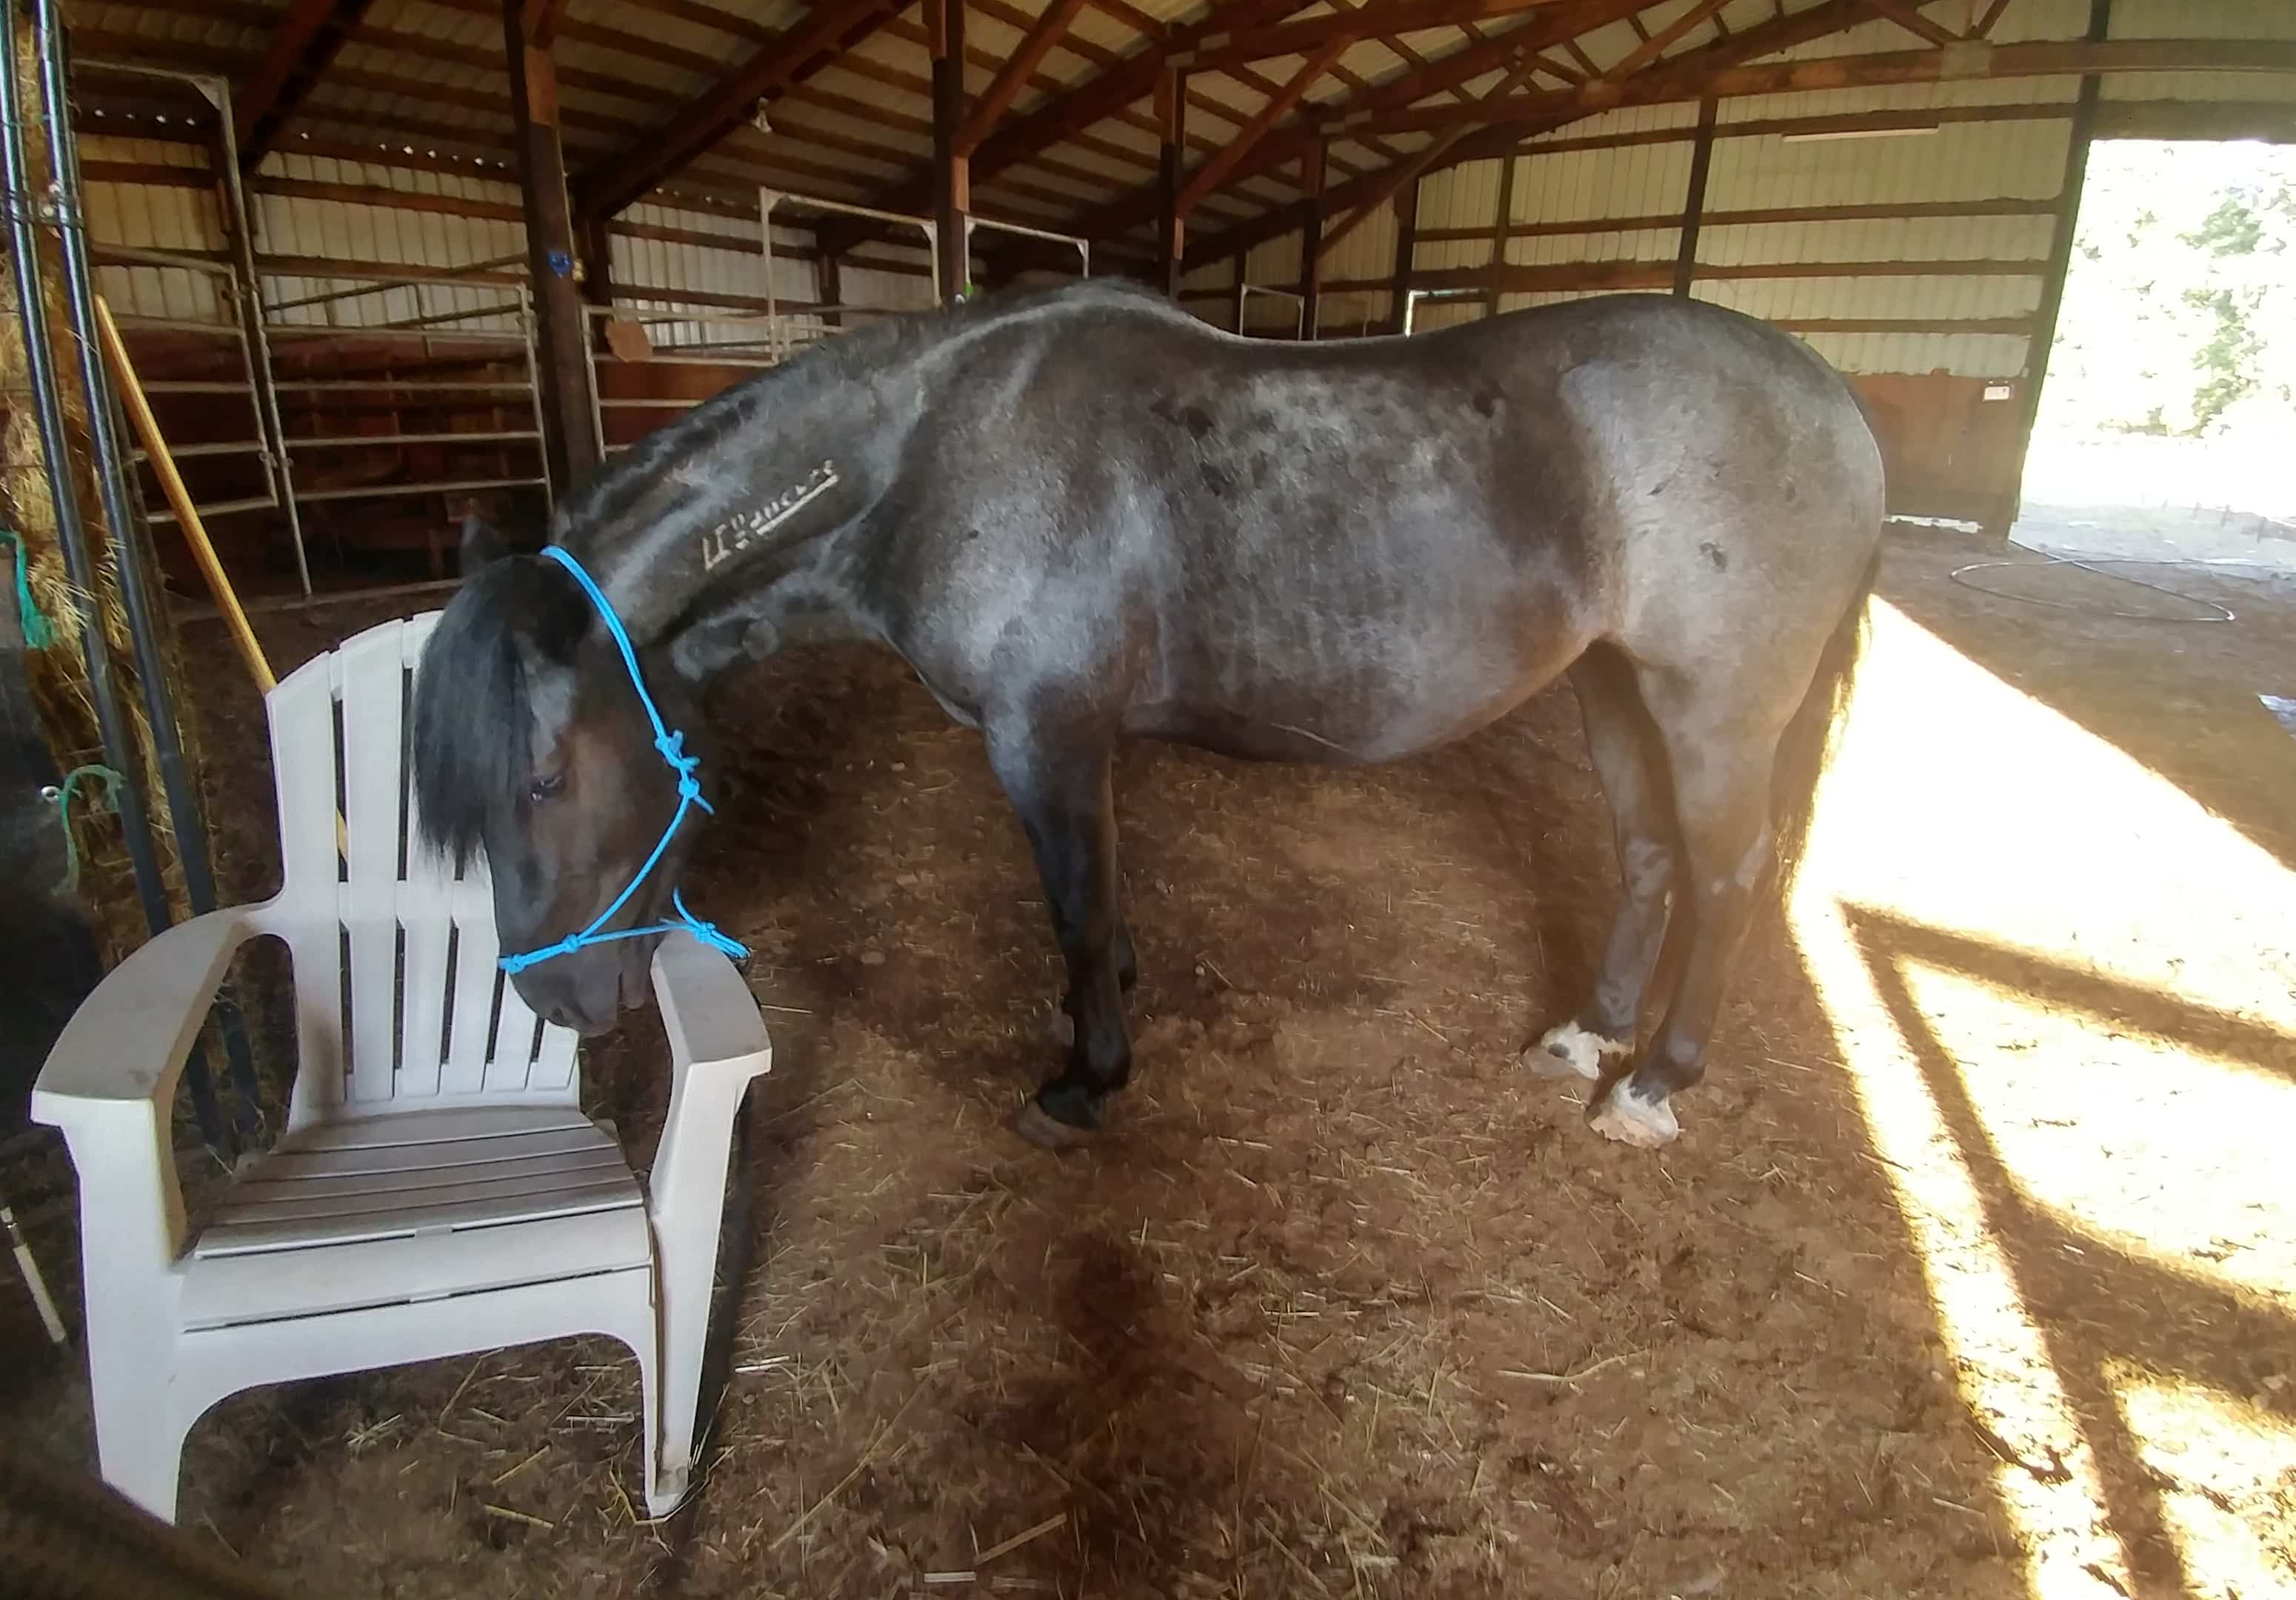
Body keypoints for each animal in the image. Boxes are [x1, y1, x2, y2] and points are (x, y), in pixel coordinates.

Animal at [411, 279, 1882, 1150]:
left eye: (542, 779)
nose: (557, 999)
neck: (933, 454)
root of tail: (1838, 404)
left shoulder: (1043, 736)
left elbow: (1072, 907)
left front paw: (1086, 1081)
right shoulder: (1076, 746)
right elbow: (1102, 906)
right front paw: (1116, 1003)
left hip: (1713, 710)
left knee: (1729, 876)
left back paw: (1654, 1081)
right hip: (1615, 685)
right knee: (1647, 857)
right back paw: (1587, 1037)